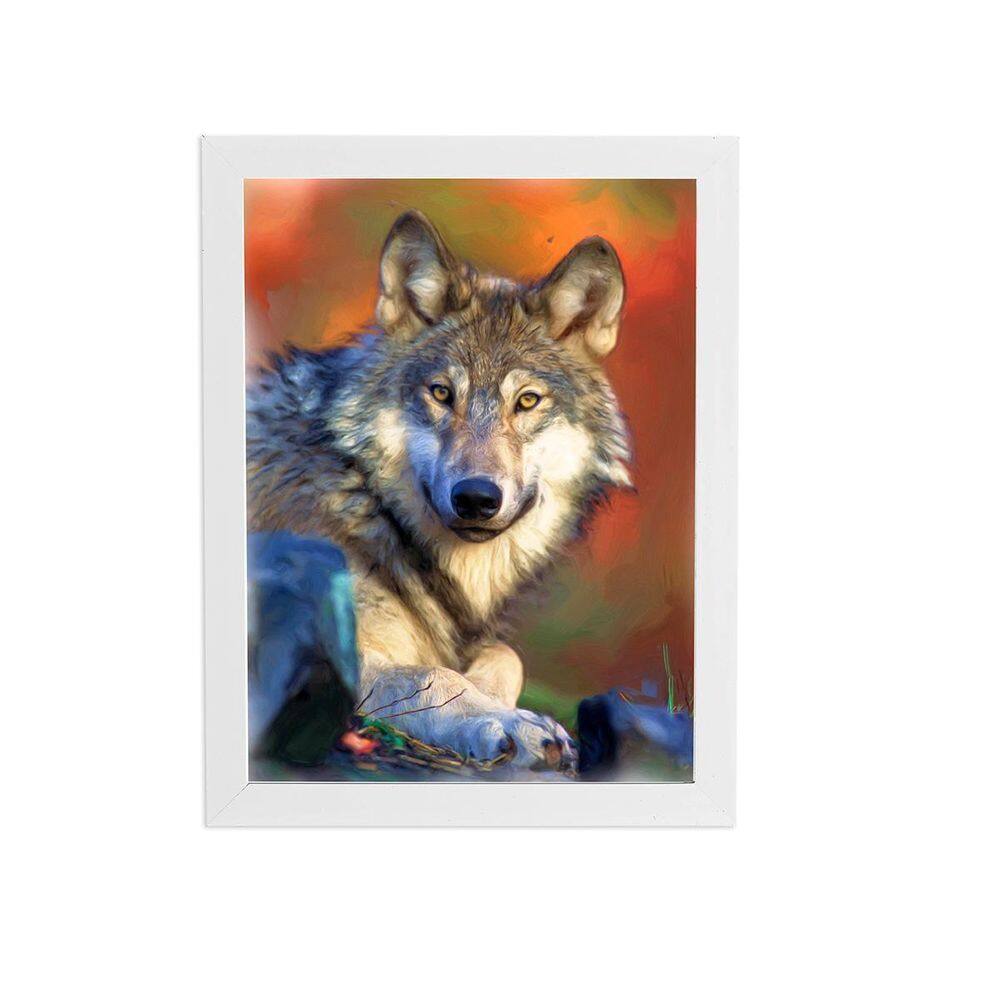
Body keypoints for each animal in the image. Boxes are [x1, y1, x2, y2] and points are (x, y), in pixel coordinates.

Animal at [247, 211, 632, 771]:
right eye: (442, 393)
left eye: (527, 401)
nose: (476, 497)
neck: (369, 504)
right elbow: (434, 675)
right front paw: (509, 723)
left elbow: (506, 656)